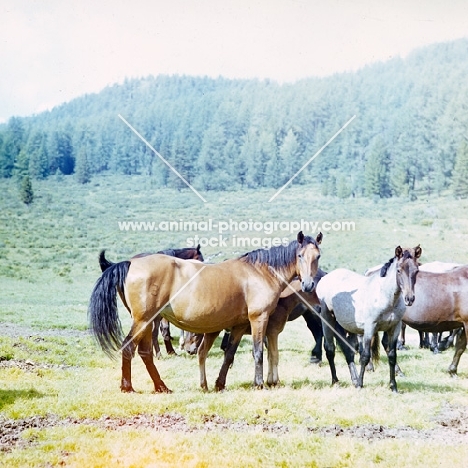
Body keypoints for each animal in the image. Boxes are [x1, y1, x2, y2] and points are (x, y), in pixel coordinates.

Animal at [88, 232, 322, 394]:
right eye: (300, 255)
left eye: (317, 256)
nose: (309, 284)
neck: (259, 272)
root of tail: (130, 263)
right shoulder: (259, 319)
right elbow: (258, 352)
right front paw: (259, 384)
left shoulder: (238, 326)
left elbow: (229, 354)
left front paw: (219, 384)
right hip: (143, 321)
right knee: (129, 347)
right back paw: (128, 386)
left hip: (148, 321)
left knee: (145, 353)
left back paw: (162, 387)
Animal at [316, 247, 422, 394]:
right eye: (398, 270)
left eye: (416, 270)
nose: (409, 299)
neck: (385, 297)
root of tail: (325, 278)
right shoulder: (369, 328)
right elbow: (365, 356)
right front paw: (360, 385)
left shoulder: (394, 328)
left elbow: (392, 356)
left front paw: (393, 386)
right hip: (327, 319)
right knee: (330, 349)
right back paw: (336, 381)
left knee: (346, 349)